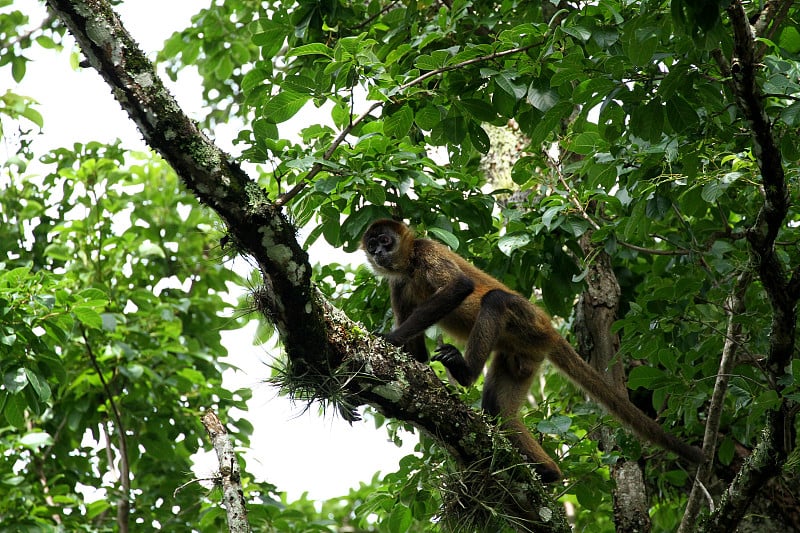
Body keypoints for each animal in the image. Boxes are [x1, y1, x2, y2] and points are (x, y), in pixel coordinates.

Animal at [360, 218, 704, 480]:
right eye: (372, 245)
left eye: (385, 240)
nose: (378, 253)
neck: (409, 266)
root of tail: (549, 330)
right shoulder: (397, 283)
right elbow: (416, 356)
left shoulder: (427, 251)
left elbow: (461, 286)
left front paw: (388, 338)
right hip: (521, 354)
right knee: (499, 410)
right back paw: (548, 472)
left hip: (527, 321)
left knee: (496, 300)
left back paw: (466, 372)